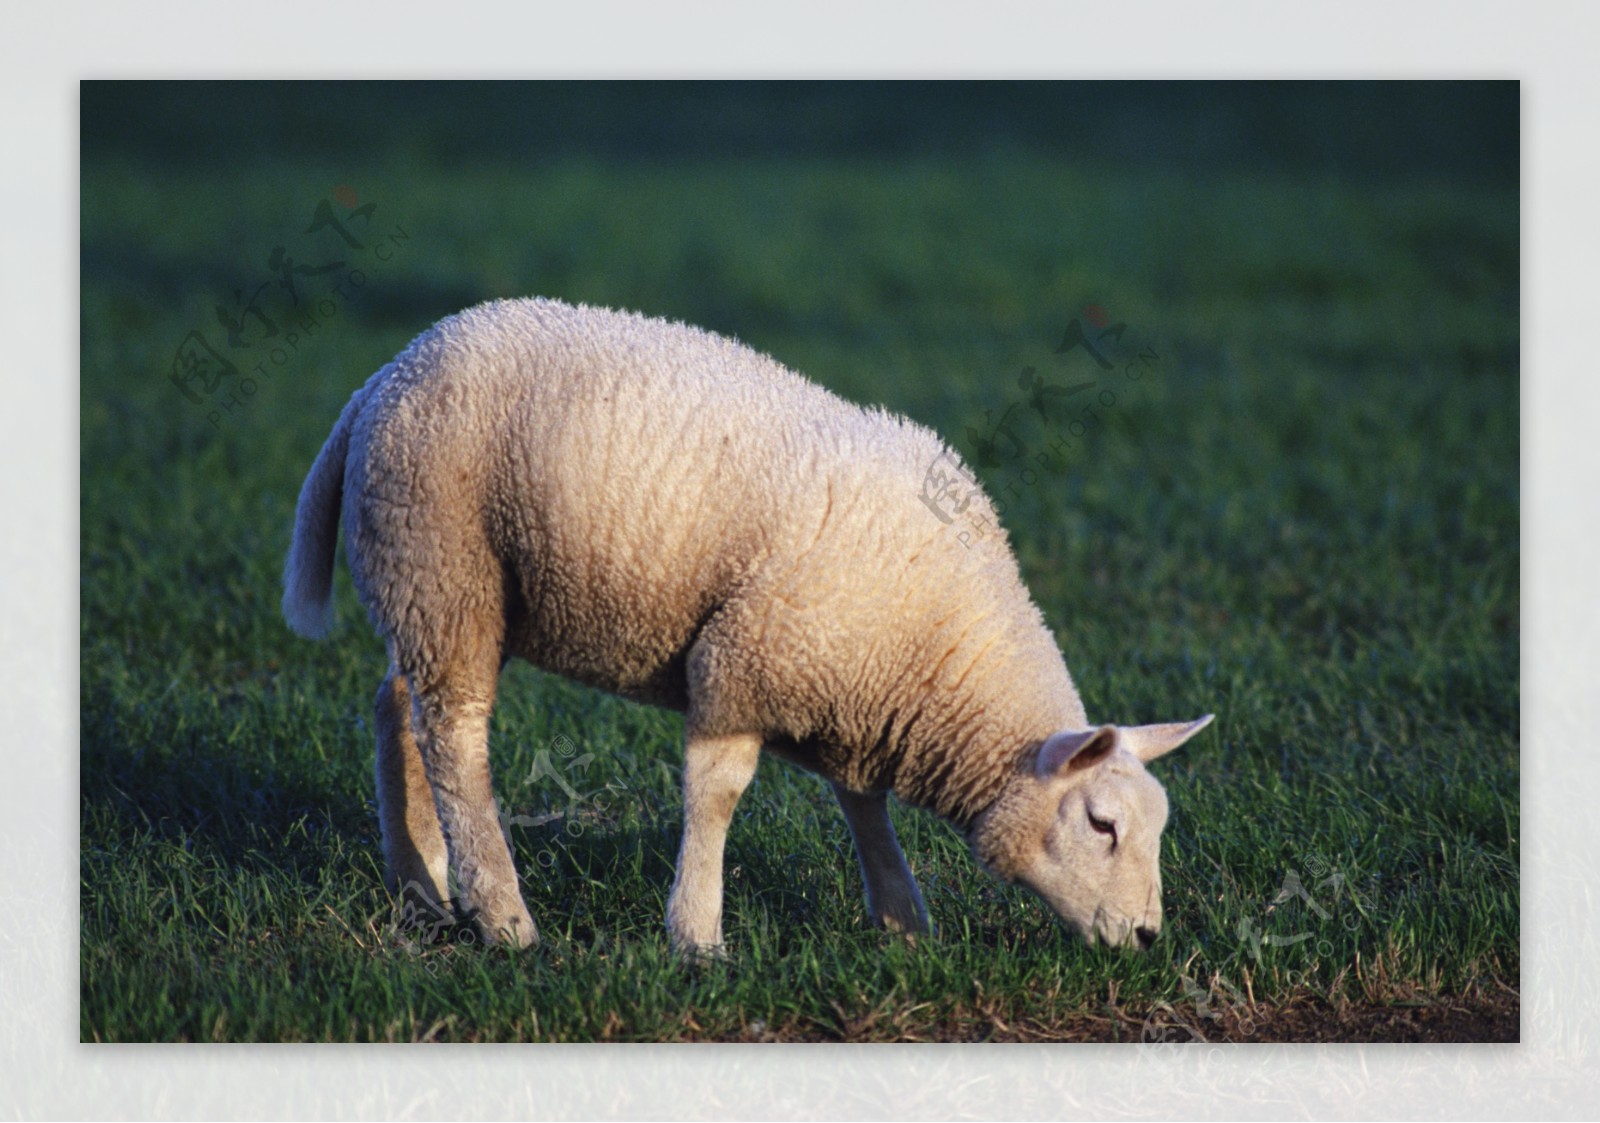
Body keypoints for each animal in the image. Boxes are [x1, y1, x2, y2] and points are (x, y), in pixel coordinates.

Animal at [284, 299, 1209, 959]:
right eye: (1102, 825)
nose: (1147, 937)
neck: (944, 662)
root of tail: (386, 374)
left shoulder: (848, 690)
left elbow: (862, 802)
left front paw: (903, 921)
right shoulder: (745, 662)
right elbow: (718, 793)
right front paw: (697, 935)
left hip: (430, 585)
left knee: (397, 708)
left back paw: (421, 886)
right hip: (445, 561)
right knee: (455, 739)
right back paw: (503, 915)